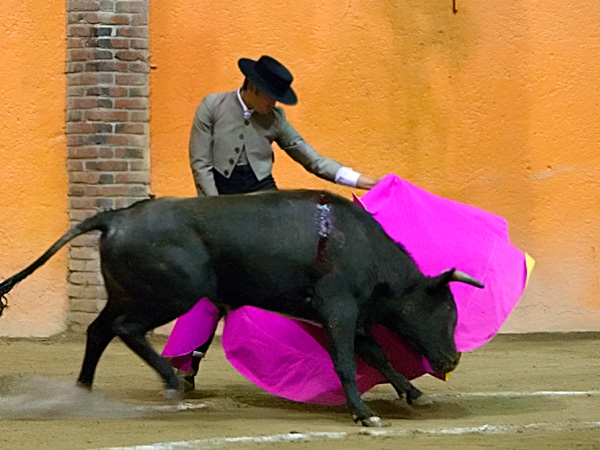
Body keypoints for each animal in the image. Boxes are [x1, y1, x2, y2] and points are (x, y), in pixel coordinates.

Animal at [0, 189, 483, 426]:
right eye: (445, 311)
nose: (453, 358)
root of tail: (114, 216)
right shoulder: (340, 310)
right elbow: (347, 362)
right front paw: (365, 415)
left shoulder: (352, 317)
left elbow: (377, 355)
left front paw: (414, 394)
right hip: (169, 296)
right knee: (126, 329)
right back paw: (171, 382)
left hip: (127, 293)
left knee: (99, 331)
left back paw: (82, 392)